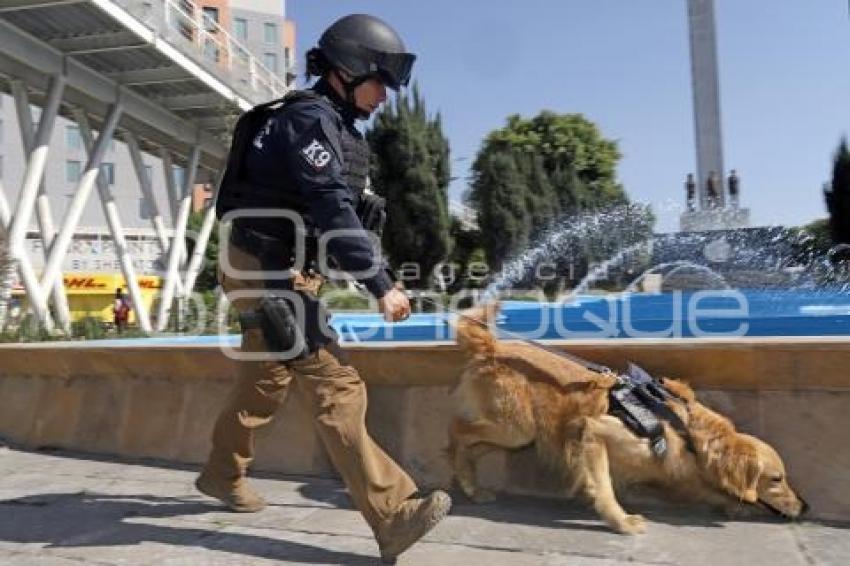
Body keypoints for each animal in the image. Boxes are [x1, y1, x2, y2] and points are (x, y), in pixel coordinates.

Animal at [448, 304, 804, 536]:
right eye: (777, 479)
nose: (805, 507)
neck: (683, 425)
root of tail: (491, 347)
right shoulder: (594, 431)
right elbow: (605, 488)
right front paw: (620, 521)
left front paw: (731, 505)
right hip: (516, 428)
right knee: (457, 430)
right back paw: (462, 472)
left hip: (513, 432)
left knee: (470, 445)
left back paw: (470, 484)